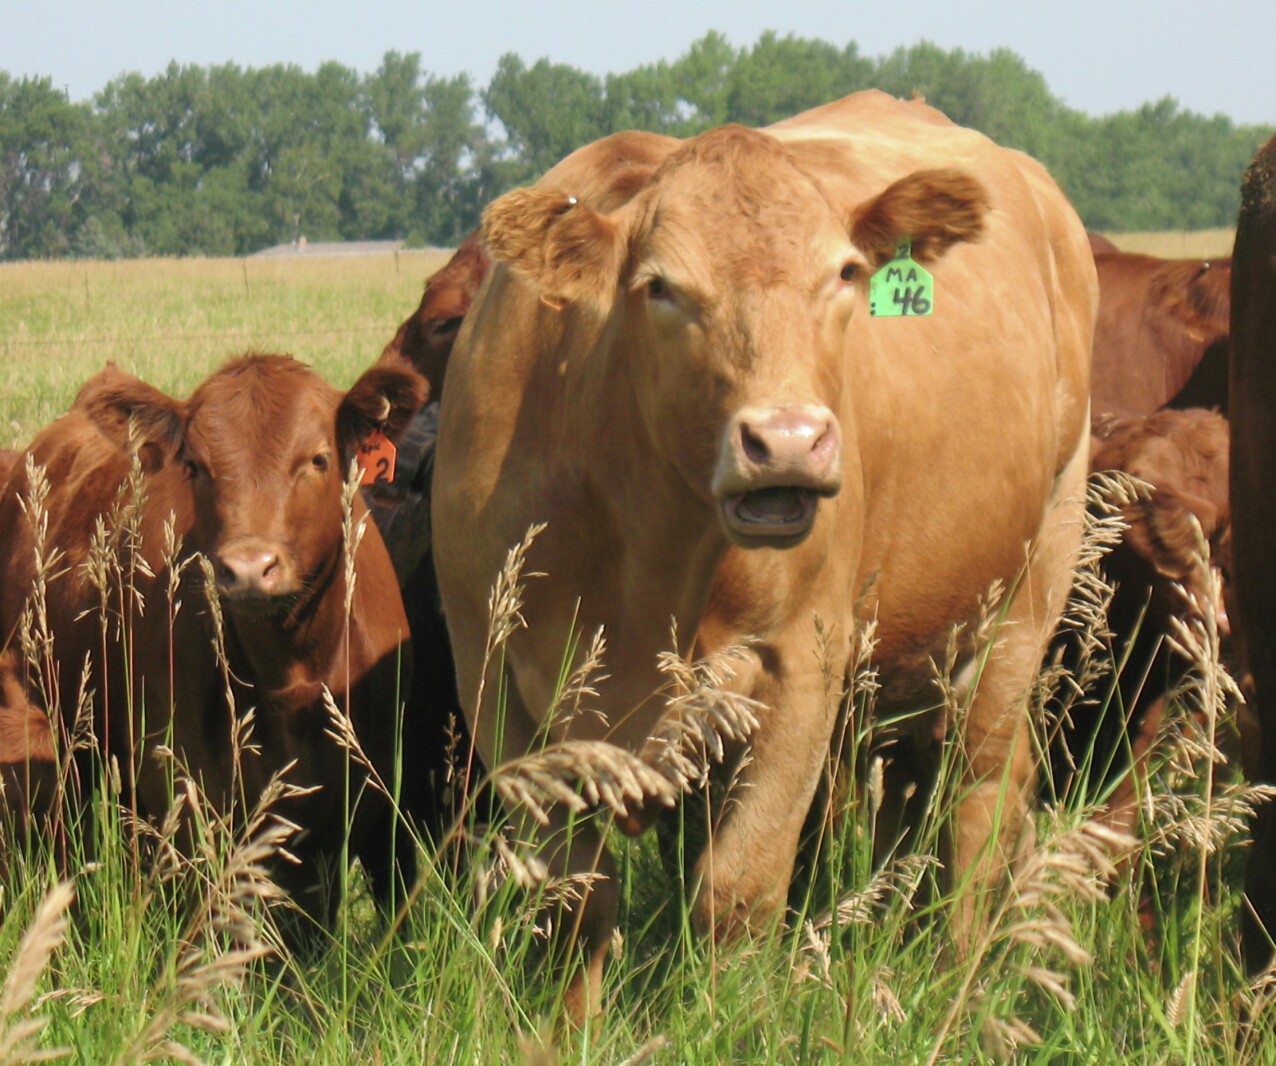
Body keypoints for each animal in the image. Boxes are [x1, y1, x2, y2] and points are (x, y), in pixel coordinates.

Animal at [0, 354, 427, 934]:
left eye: (318, 458)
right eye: (195, 466)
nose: (248, 567)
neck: (291, 673)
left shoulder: (384, 808)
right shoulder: (186, 796)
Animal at [431, 90, 1097, 1018]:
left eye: (846, 274)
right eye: (660, 287)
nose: (788, 440)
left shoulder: (799, 669)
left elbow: (738, 893)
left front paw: (724, 1022)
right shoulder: (498, 684)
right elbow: (573, 902)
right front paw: (569, 1029)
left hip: (1028, 591)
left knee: (982, 790)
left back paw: (957, 977)